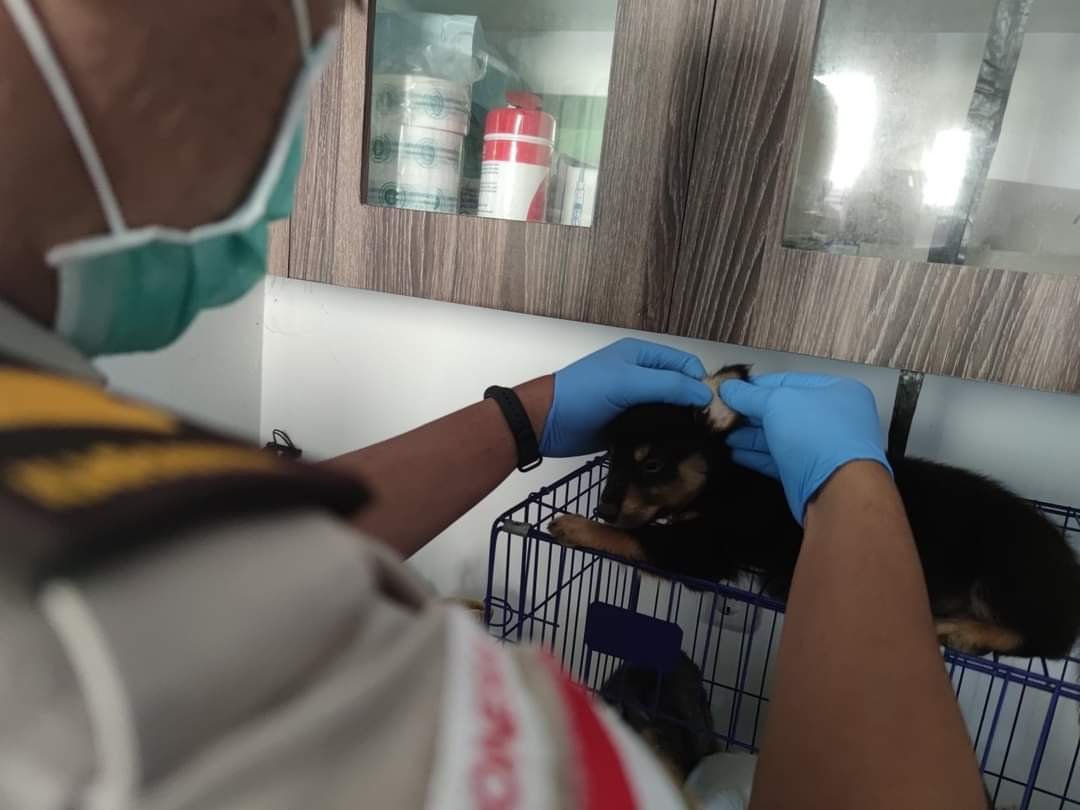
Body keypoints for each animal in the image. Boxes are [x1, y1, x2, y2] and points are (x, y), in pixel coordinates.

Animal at [550, 365, 1080, 658]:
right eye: (611, 458)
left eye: (652, 464)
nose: (603, 506)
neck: (723, 480)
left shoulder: (707, 552)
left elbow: (639, 539)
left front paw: (578, 525)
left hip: (1006, 576)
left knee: (1046, 639)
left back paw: (967, 631)